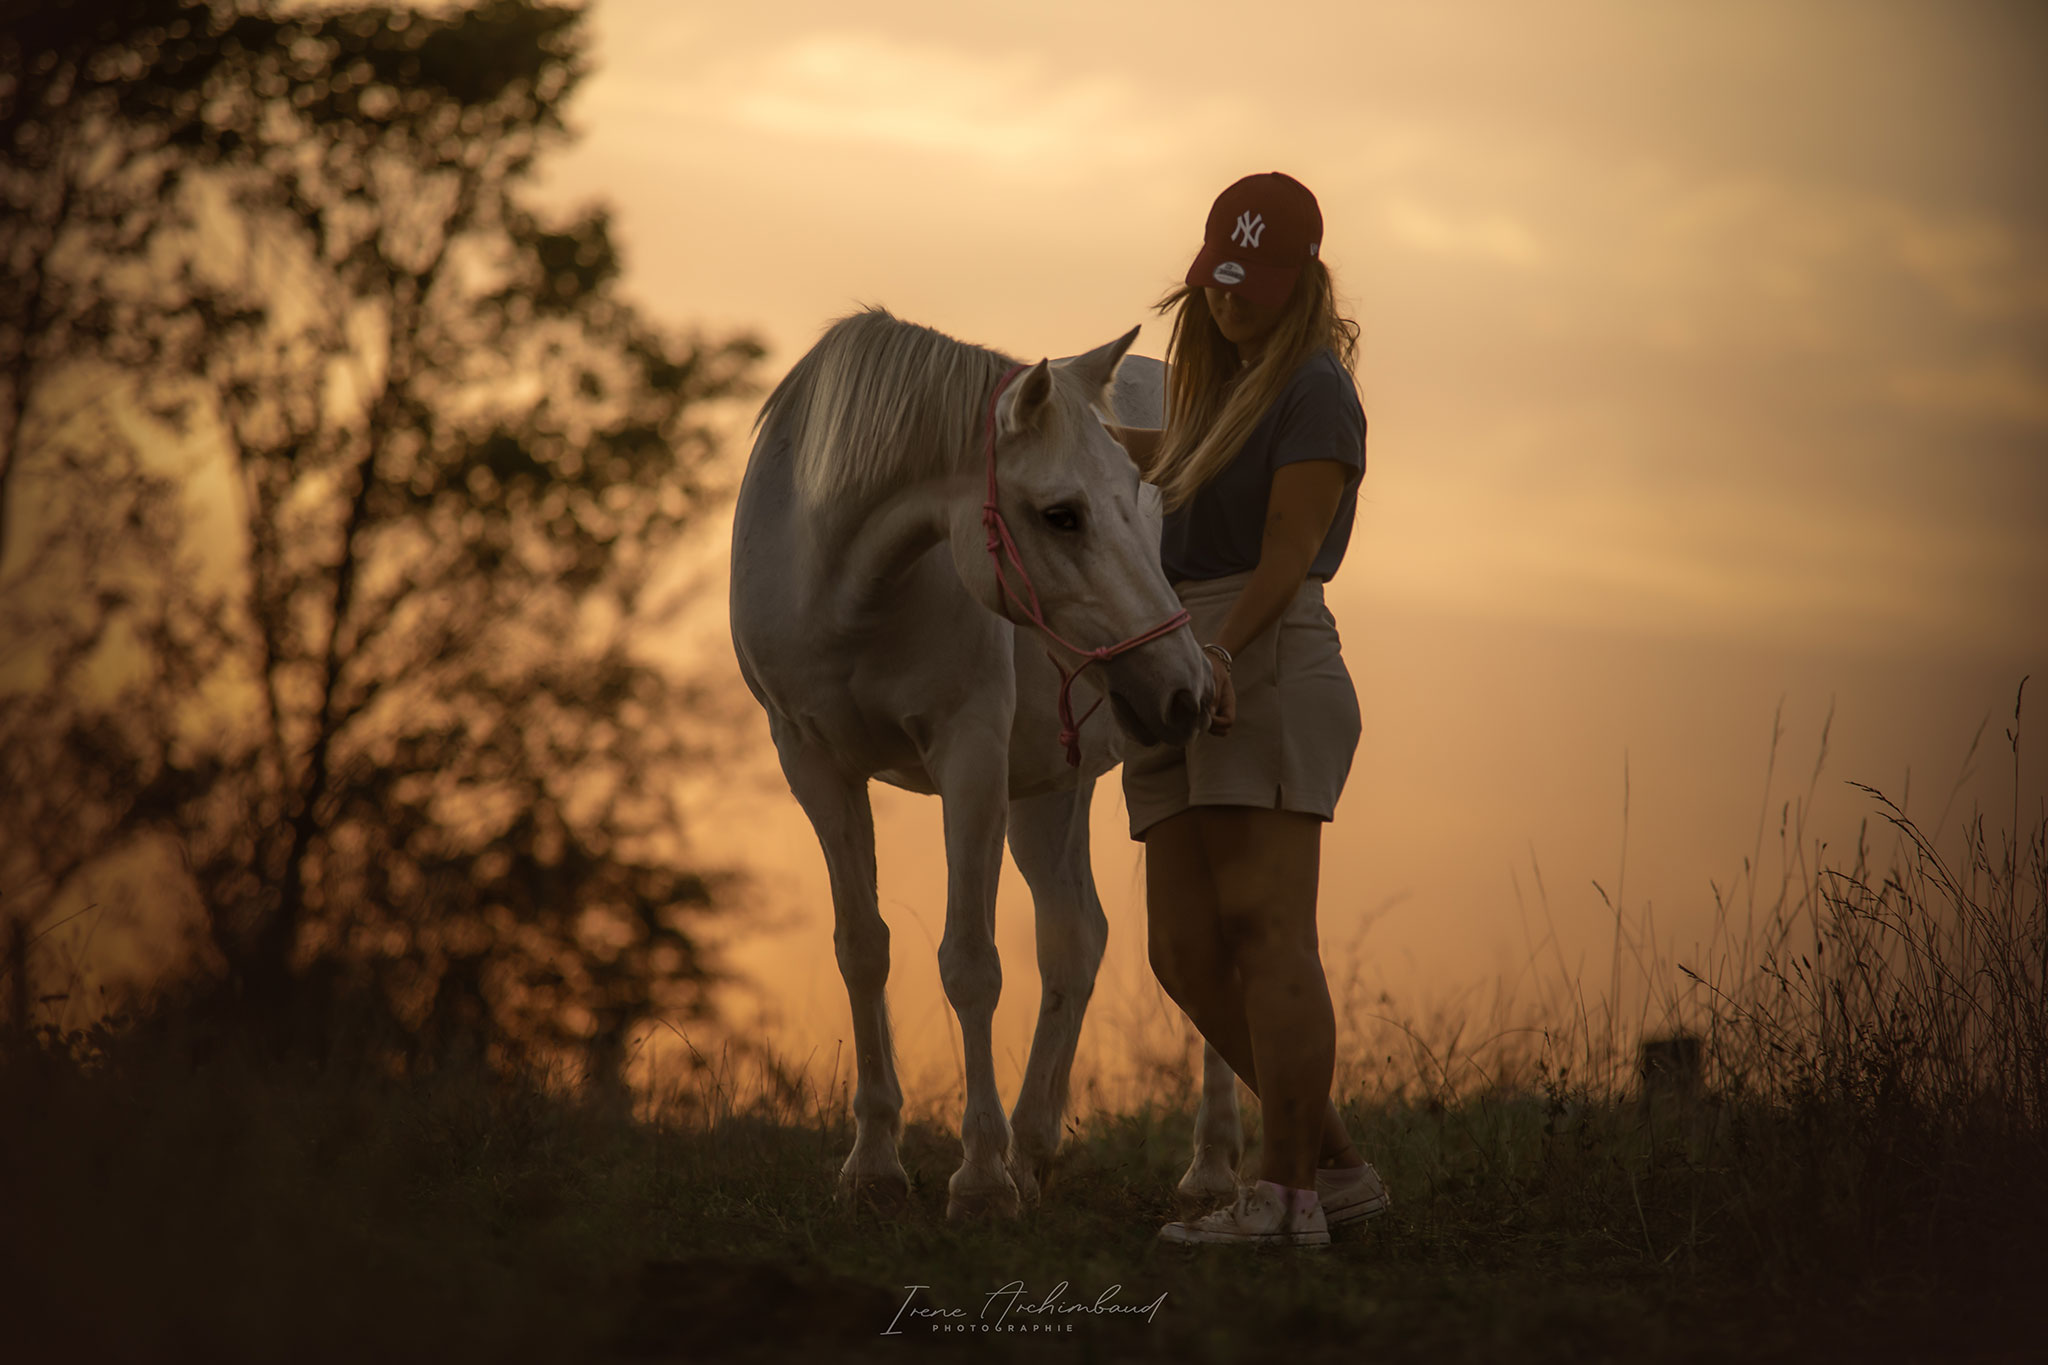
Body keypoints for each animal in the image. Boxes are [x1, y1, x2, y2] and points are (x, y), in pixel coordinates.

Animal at [729, 306, 1245, 1217]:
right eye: (1062, 513)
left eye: (1133, 496)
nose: (1186, 687)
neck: (845, 586)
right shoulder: (813, 761)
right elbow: (863, 947)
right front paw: (875, 1163)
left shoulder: (969, 757)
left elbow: (970, 963)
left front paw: (978, 1177)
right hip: (1051, 788)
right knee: (1076, 936)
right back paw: (1036, 1147)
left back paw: (1209, 1166)